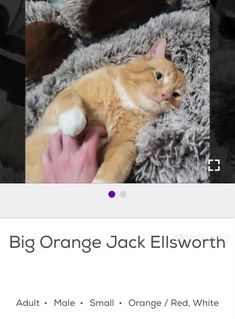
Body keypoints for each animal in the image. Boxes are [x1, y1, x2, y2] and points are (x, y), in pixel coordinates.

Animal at [25, 38, 186, 182]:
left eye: (176, 95)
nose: (165, 96)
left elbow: (114, 169)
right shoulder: (69, 92)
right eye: (158, 75)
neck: (125, 100)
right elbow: (71, 97)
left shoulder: (124, 144)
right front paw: (73, 122)